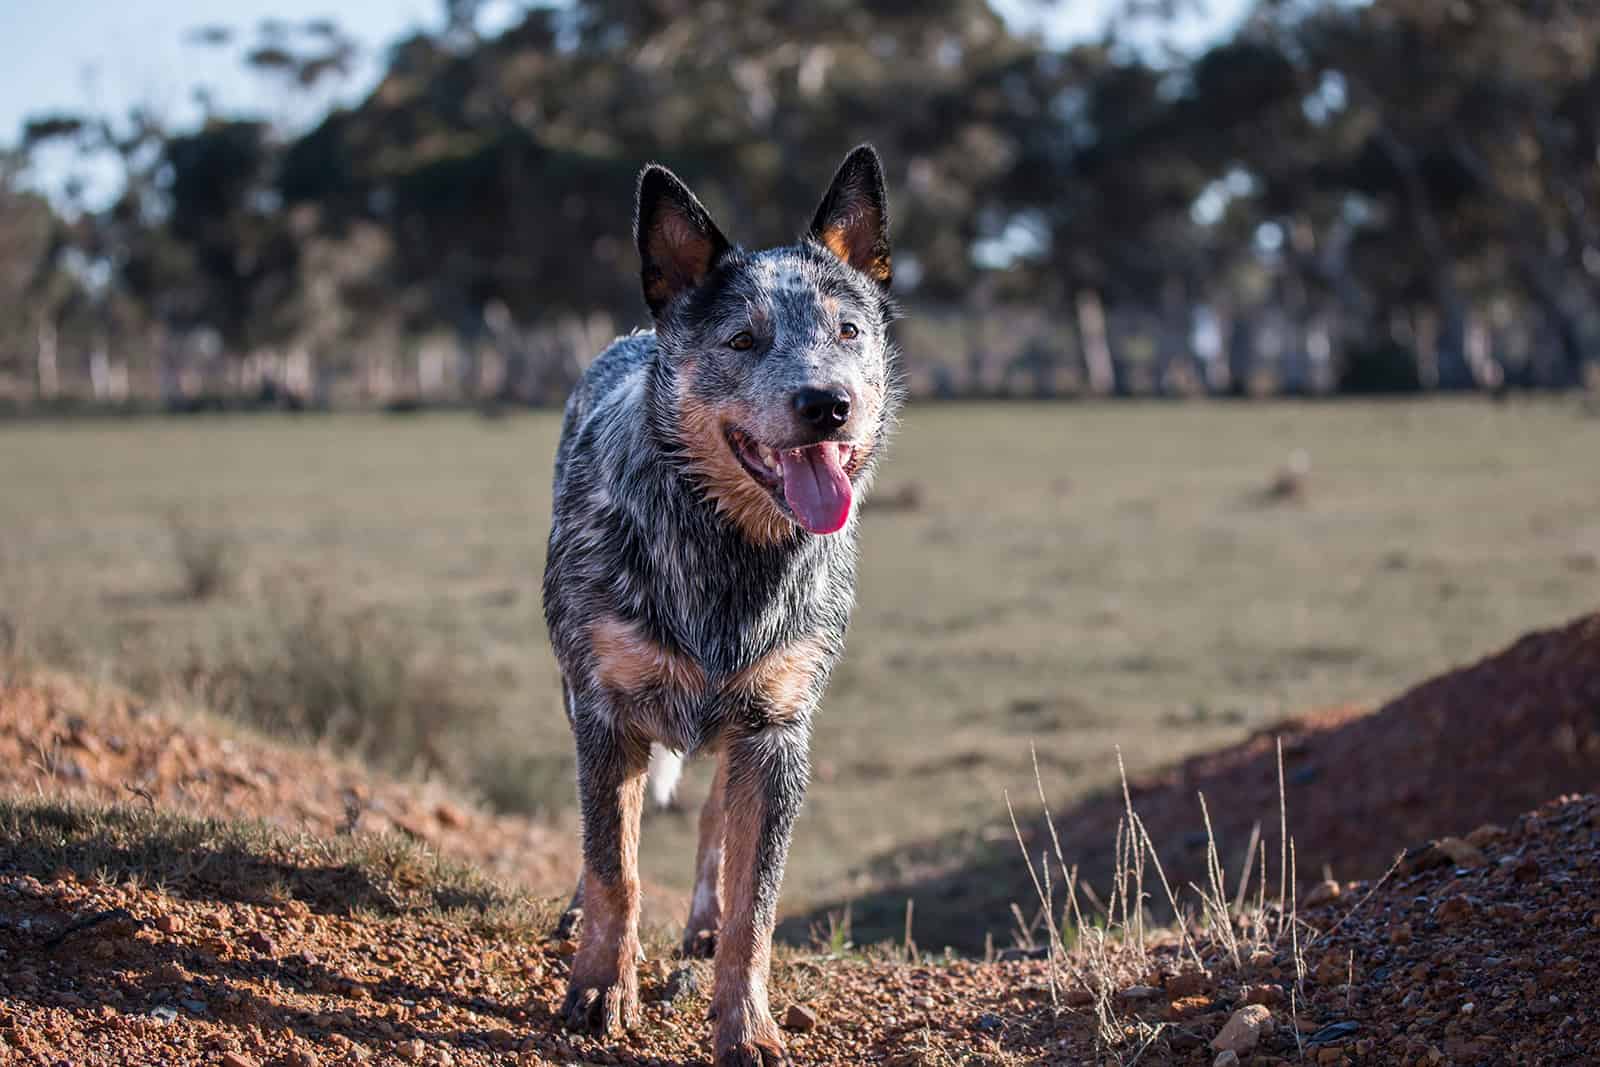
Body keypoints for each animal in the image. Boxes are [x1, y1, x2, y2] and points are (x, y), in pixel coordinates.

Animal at [544, 143, 902, 1067]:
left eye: (847, 331)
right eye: (744, 338)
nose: (828, 403)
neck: (731, 553)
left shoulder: (777, 729)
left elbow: (756, 904)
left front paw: (747, 1022)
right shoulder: (604, 708)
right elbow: (616, 864)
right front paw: (601, 988)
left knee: (712, 814)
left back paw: (700, 924)